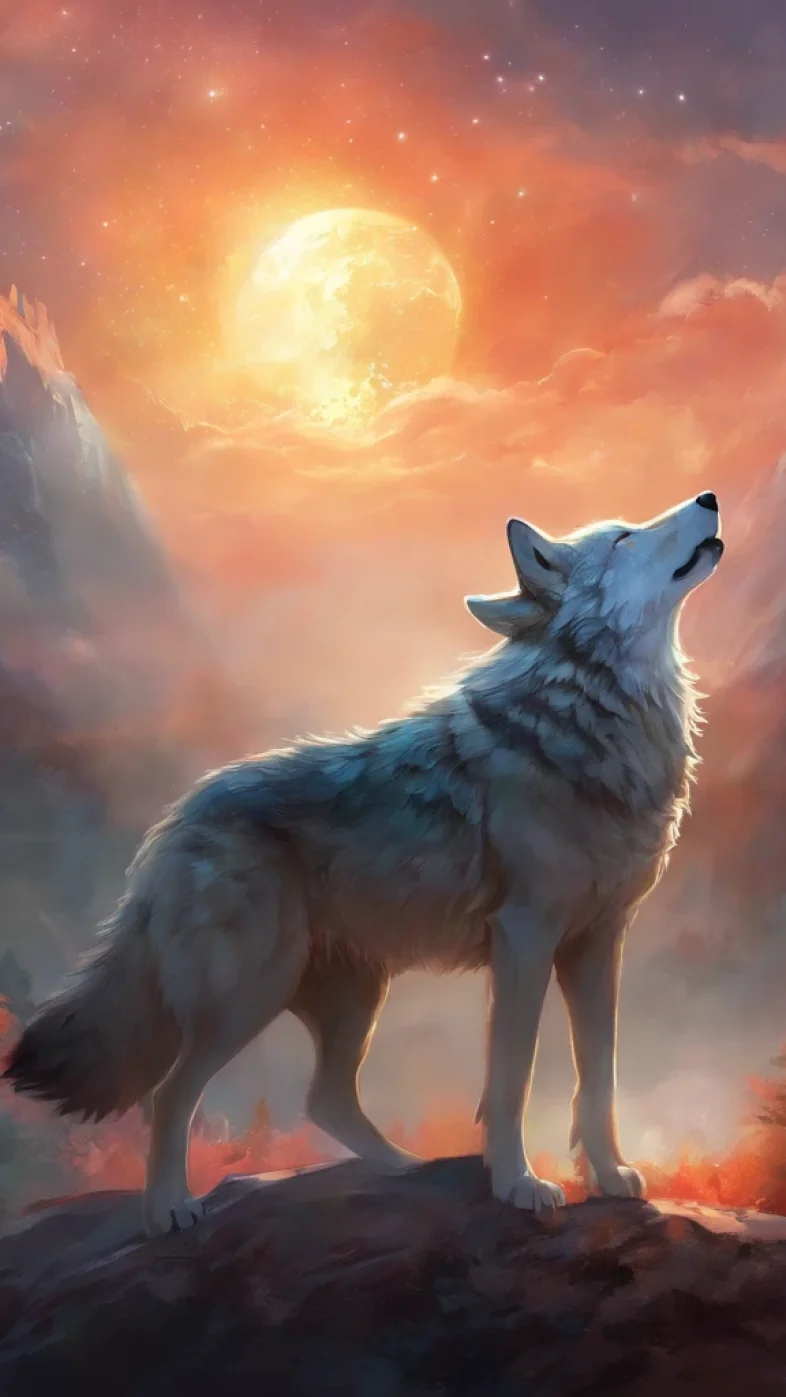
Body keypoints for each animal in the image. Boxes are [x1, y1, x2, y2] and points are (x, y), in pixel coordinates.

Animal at [4, 493, 723, 1235]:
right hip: (249, 993)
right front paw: (518, 1184)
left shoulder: (598, 942)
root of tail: (172, 823)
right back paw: (170, 1208)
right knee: (169, 1093)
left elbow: (599, 1076)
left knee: (324, 1098)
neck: (588, 720)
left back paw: (407, 1169)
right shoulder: (525, 937)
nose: (708, 498)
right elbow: (511, 1077)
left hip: (354, 997)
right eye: (626, 537)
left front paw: (608, 1177)